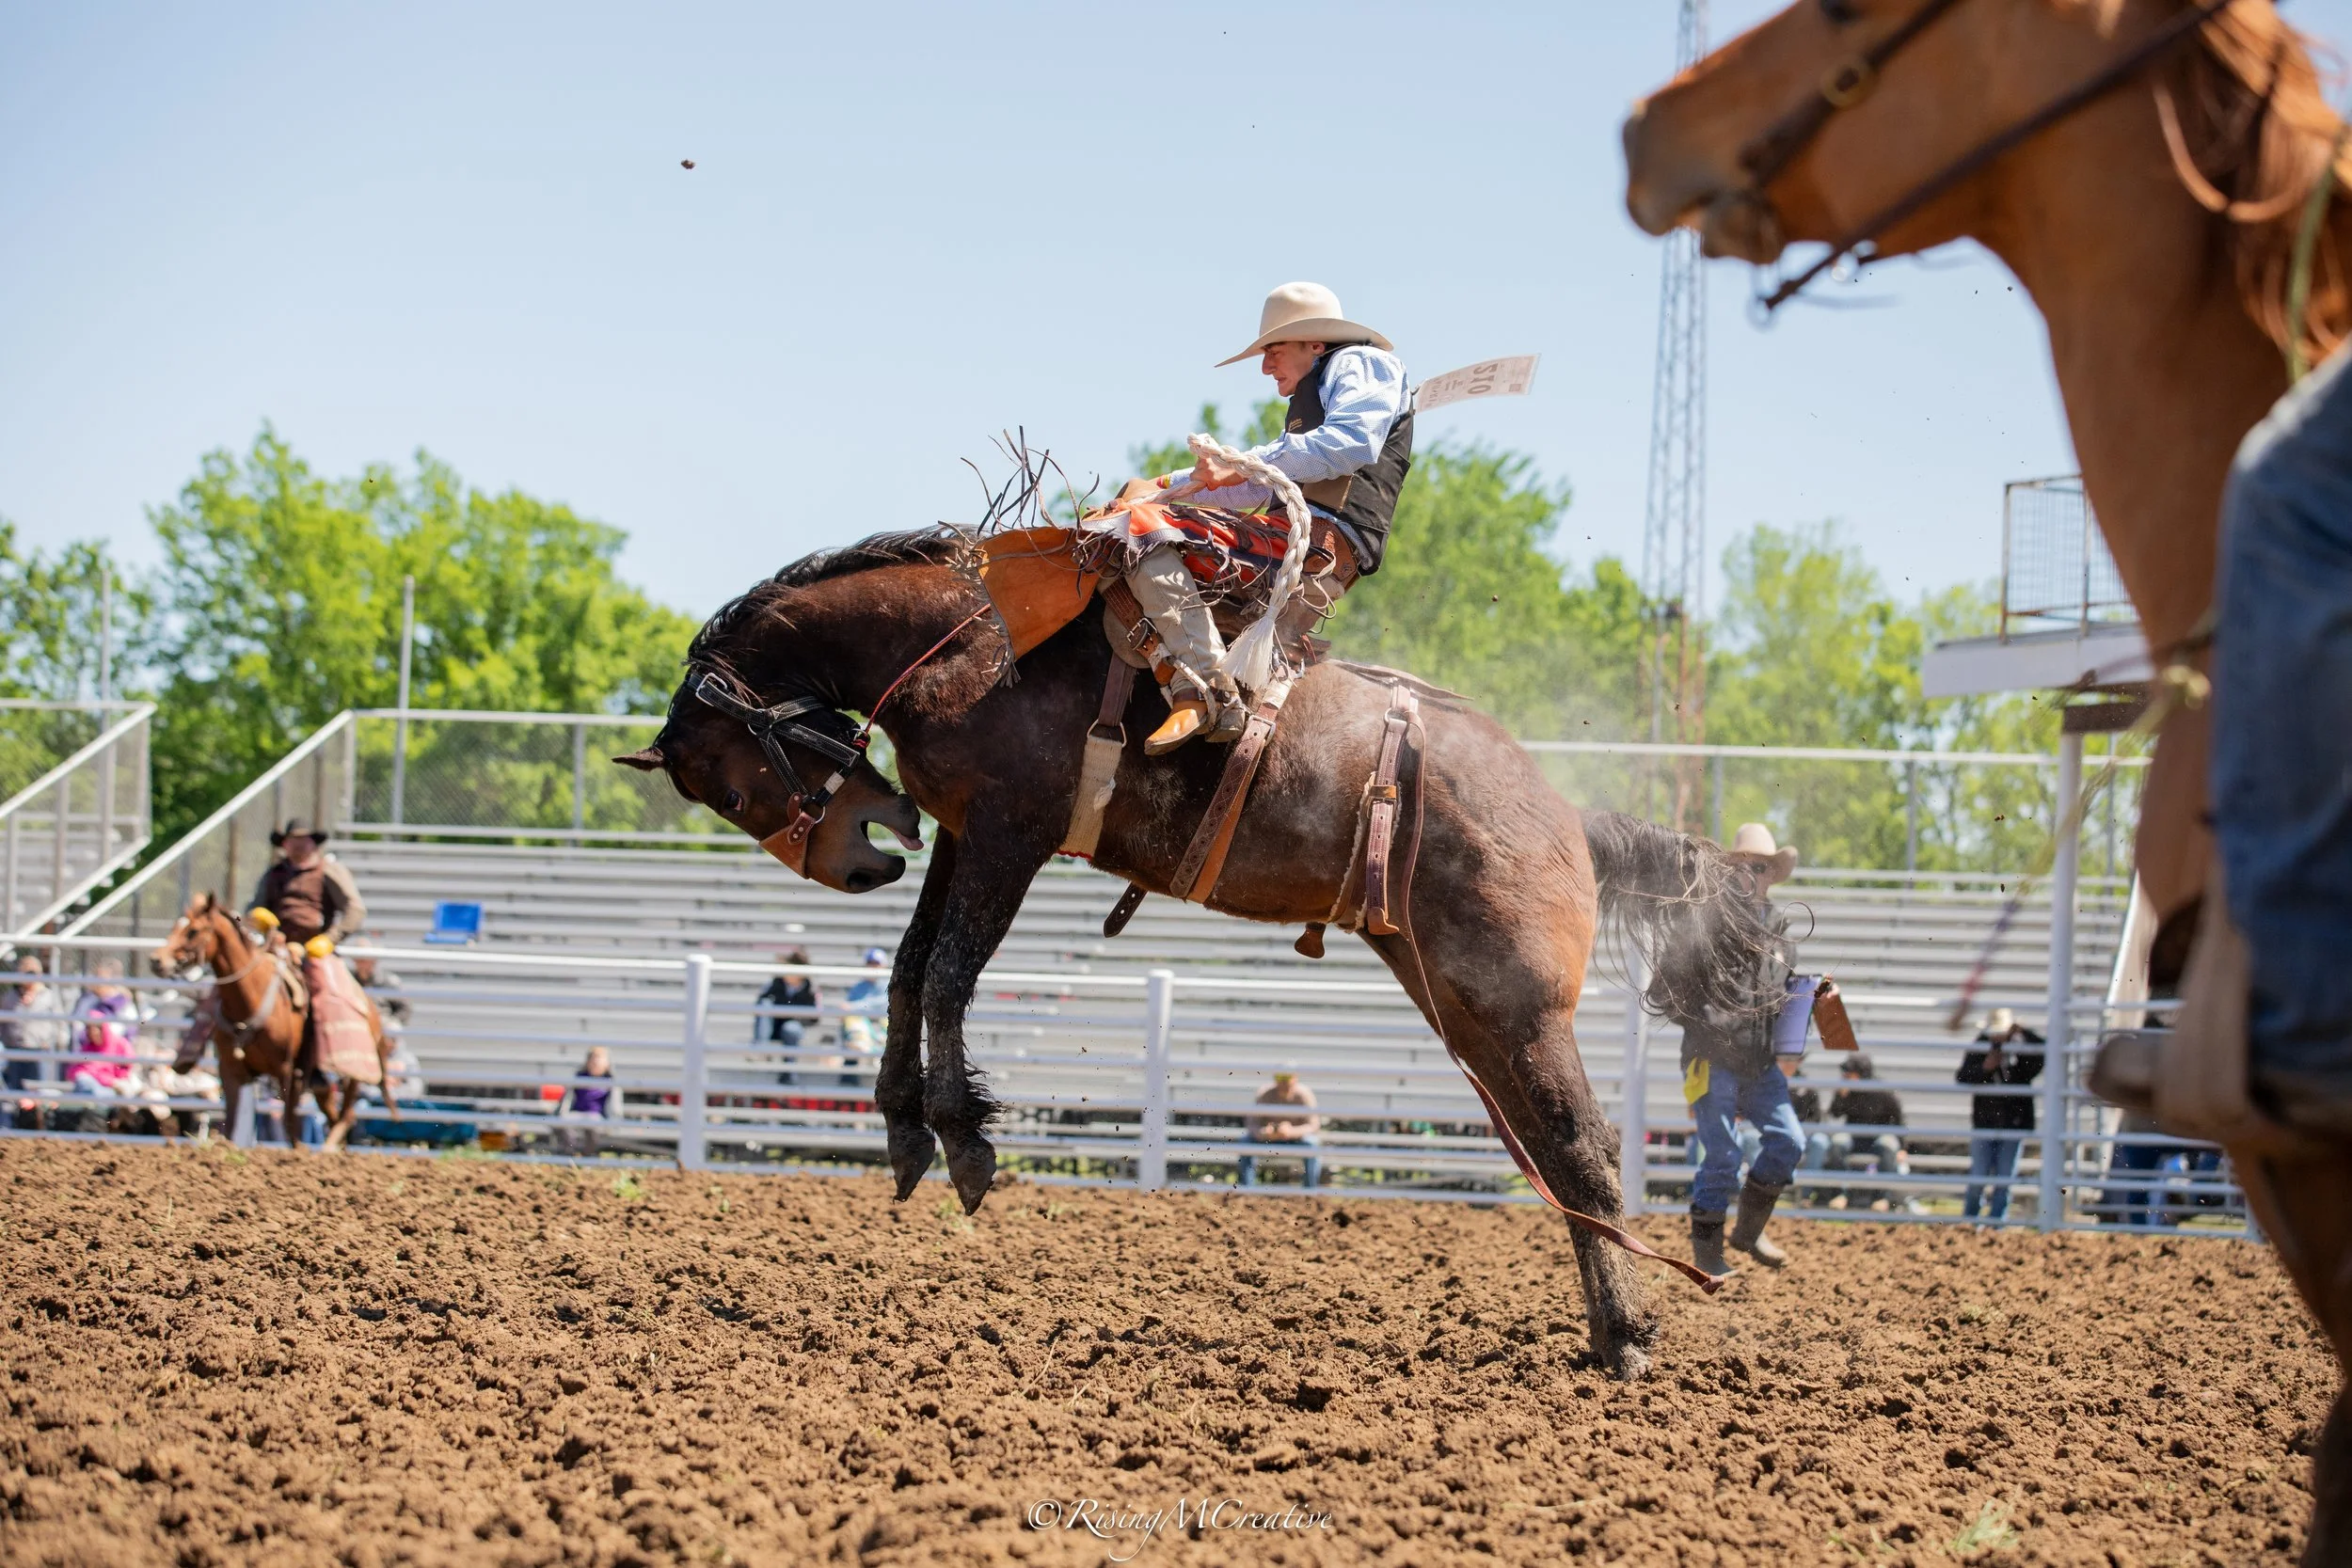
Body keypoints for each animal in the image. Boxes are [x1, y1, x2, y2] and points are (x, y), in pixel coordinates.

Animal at [150, 892, 399, 1151]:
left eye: (193, 931)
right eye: (175, 926)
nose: (156, 960)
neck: (250, 999)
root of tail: (372, 1008)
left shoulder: (288, 1069)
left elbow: (290, 1122)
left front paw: (299, 1152)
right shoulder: (231, 1068)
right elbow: (232, 1121)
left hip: (353, 1075)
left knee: (347, 1114)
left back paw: (328, 1148)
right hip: (322, 1084)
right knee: (333, 1112)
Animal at [616, 529, 1779, 1379]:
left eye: (732, 779)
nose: (854, 867)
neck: (978, 639)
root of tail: (1570, 817)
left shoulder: (1010, 834)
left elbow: (948, 973)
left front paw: (964, 1140)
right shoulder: (961, 835)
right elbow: (910, 968)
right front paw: (905, 1129)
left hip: (1519, 1006)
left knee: (1581, 1148)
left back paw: (1629, 1342)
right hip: (1465, 1002)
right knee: (1549, 1151)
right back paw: (1609, 1328)